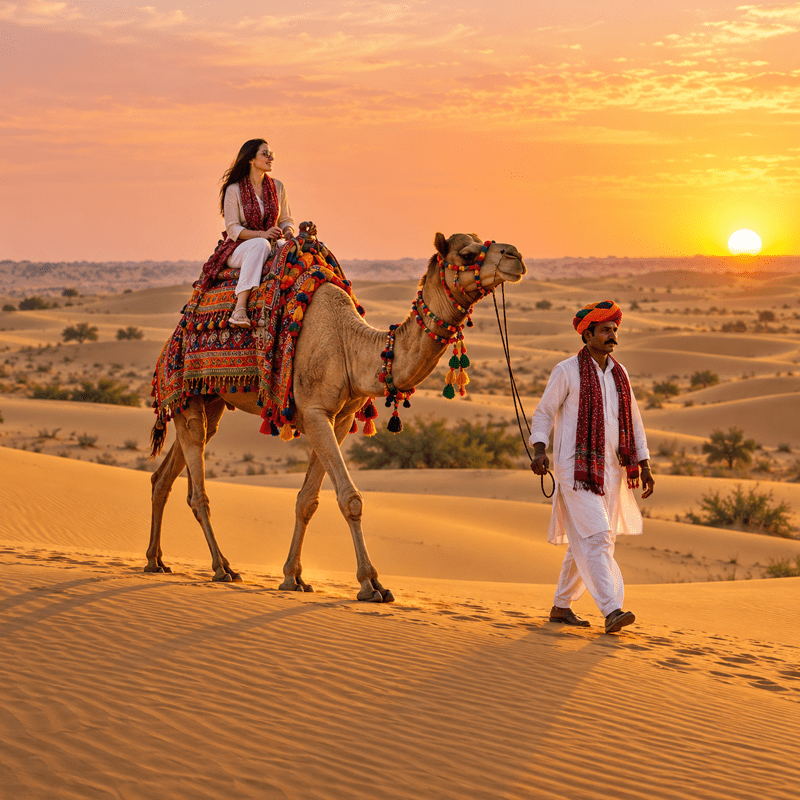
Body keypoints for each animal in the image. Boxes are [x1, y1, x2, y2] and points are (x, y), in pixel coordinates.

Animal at [146, 232, 526, 601]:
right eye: (467, 254)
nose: (515, 256)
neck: (350, 348)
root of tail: (170, 340)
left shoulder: (339, 419)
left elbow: (307, 500)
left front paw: (293, 577)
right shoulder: (315, 412)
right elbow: (350, 499)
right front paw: (371, 584)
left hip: (209, 400)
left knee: (165, 474)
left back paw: (155, 560)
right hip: (186, 392)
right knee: (198, 491)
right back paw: (221, 567)